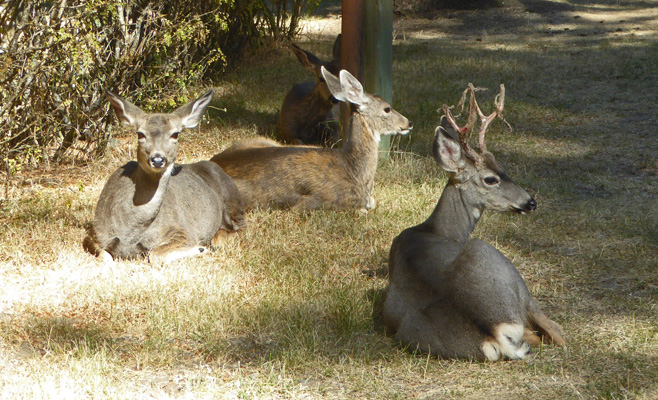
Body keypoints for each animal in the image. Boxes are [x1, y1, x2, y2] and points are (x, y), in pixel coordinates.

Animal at [83, 90, 245, 266]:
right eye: (140, 134)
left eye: (175, 134)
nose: (158, 159)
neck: (131, 231)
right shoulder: (95, 234)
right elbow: (104, 257)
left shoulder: (184, 231)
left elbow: (155, 254)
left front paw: (200, 249)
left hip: (234, 204)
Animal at [380, 83, 564, 360]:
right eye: (490, 179)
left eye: (502, 166)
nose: (530, 202)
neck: (436, 230)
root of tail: (494, 330)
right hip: (500, 264)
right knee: (554, 333)